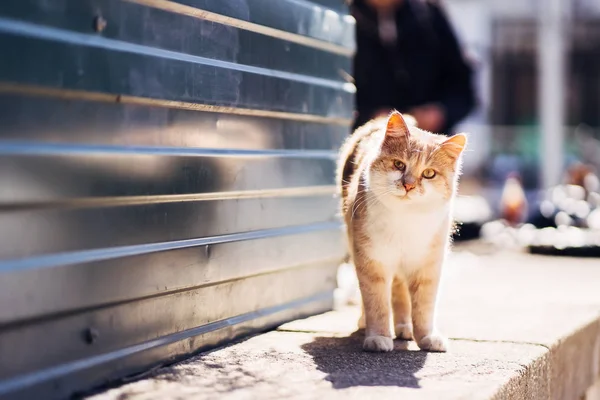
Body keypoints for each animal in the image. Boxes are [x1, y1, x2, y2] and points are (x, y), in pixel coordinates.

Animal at [340, 111, 466, 352]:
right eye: (399, 164)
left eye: (429, 173)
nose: (408, 185)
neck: (405, 219)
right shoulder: (372, 262)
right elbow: (376, 303)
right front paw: (378, 337)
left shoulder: (428, 266)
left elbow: (424, 306)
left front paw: (427, 337)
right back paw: (366, 323)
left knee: (400, 292)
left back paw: (405, 328)